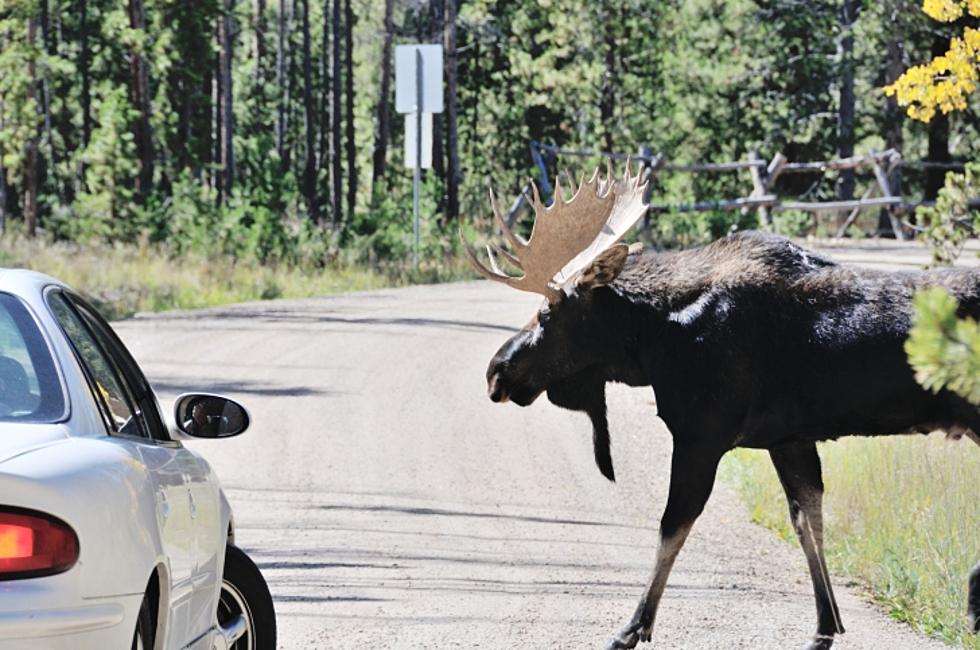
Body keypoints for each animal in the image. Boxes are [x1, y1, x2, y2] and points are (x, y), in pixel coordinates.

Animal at [462, 166, 980, 648]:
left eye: (547, 313)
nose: (495, 372)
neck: (652, 342)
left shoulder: (701, 434)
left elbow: (671, 526)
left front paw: (632, 627)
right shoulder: (788, 438)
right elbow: (807, 521)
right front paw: (825, 626)